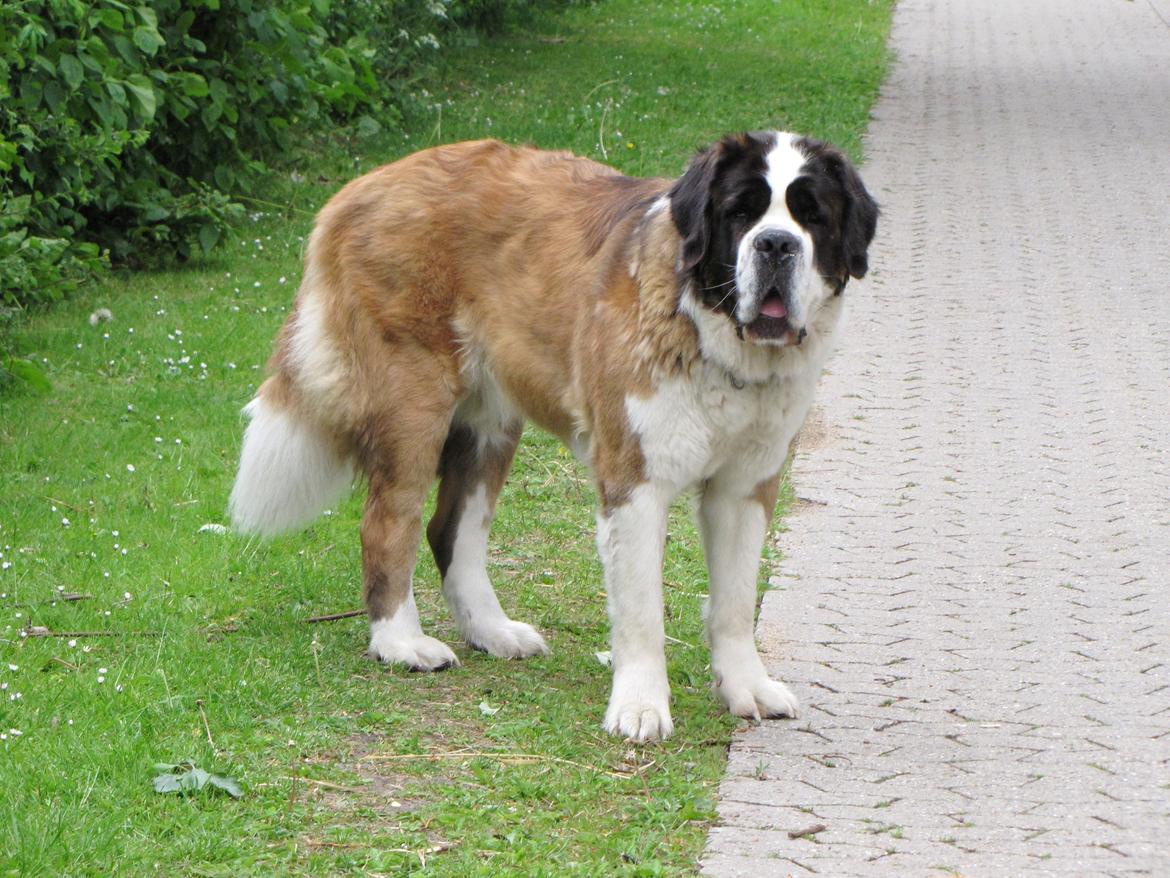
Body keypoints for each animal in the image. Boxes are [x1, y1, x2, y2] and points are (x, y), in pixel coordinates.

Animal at [230, 132, 879, 744]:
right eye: (741, 213)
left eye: (811, 216)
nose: (776, 245)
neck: (708, 333)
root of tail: (360, 187)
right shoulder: (633, 483)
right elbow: (642, 610)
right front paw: (640, 706)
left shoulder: (745, 488)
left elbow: (736, 602)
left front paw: (746, 687)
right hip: (413, 404)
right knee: (389, 523)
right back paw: (401, 643)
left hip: (489, 422)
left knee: (452, 530)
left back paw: (492, 632)